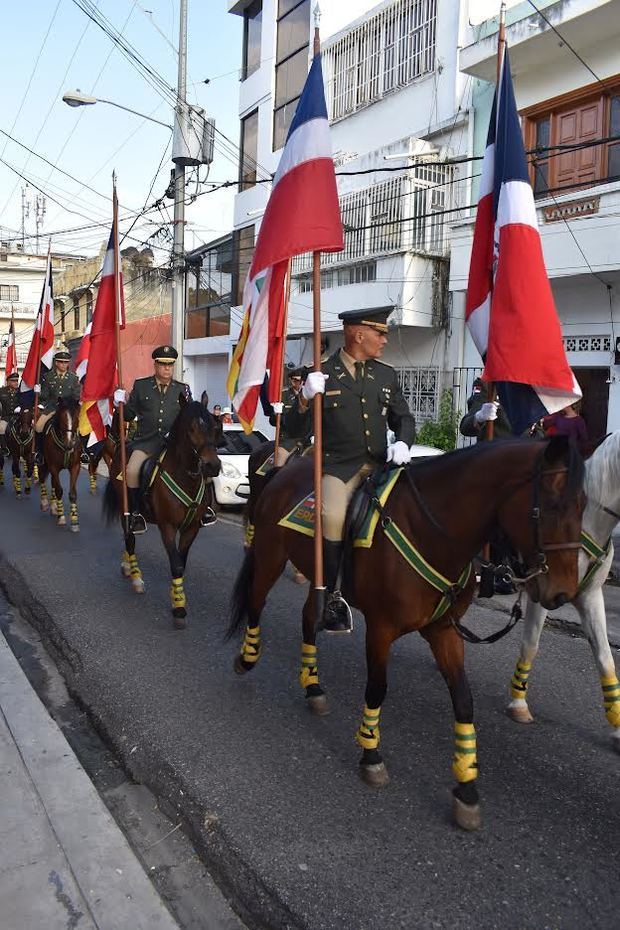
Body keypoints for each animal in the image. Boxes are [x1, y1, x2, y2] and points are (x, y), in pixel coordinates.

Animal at [39, 396, 84, 528]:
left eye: (76, 417)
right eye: (62, 417)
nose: (69, 445)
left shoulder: (75, 467)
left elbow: (72, 493)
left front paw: (74, 521)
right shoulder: (53, 466)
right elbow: (59, 490)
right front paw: (62, 517)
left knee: (53, 482)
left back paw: (54, 508)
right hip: (44, 463)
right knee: (42, 478)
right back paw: (45, 504)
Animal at [104, 396, 223, 628]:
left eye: (215, 428)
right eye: (191, 429)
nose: (212, 466)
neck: (184, 477)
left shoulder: (191, 528)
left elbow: (181, 563)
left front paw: (176, 595)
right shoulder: (167, 527)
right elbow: (175, 565)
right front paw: (179, 609)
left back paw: (126, 566)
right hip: (126, 508)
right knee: (130, 538)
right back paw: (136, 577)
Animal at [229, 438, 588, 832]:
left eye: (584, 506)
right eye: (551, 507)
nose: (563, 593)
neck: (431, 531)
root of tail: (284, 470)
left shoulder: (443, 630)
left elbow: (464, 700)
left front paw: (466, 784)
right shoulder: (381, 628)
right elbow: (377, 688)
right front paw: (371, 753)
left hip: (318, 573)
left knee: (310, 618)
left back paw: (313, 687)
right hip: (270, 554)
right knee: (256, 603)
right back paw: (247, 658)